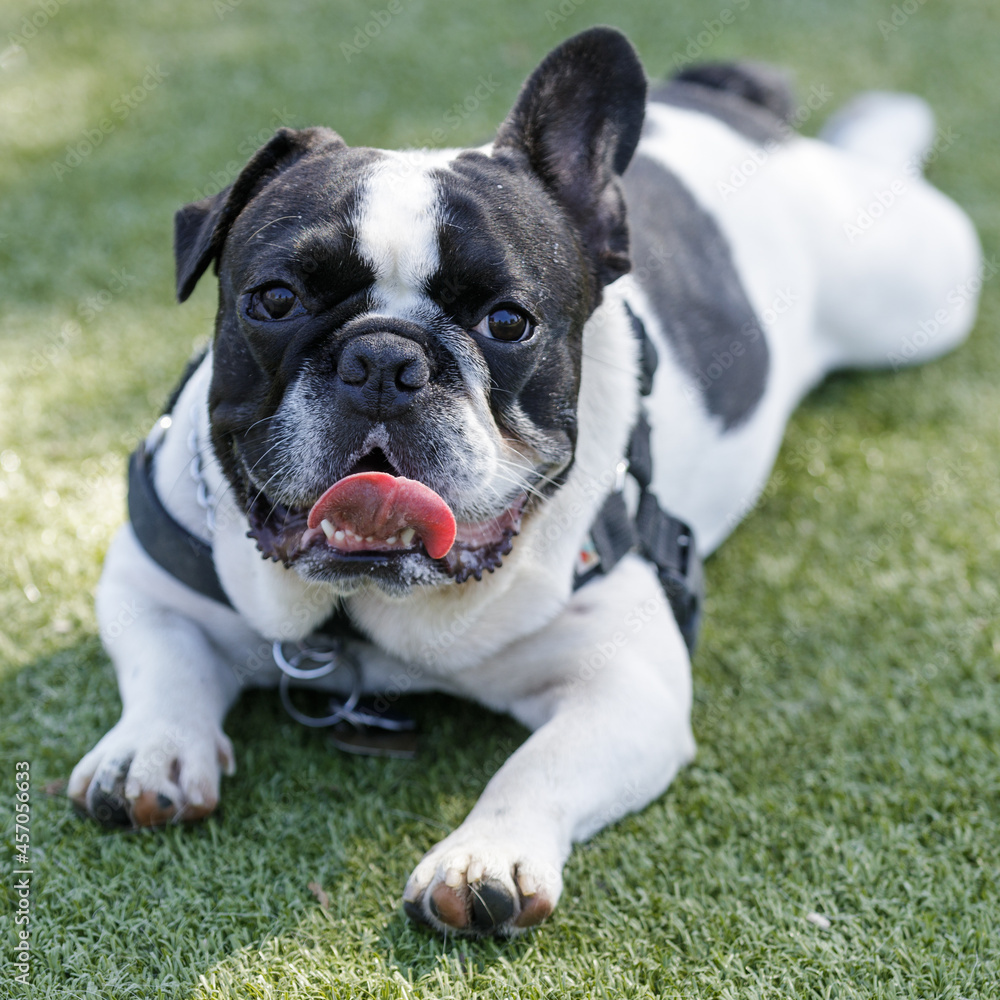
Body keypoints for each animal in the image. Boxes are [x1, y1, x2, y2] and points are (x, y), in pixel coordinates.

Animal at [66, 31, 980, 936]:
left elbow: (536, 767)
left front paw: (486, 855)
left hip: (920, 287)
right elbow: (165, 664)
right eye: (276, 300)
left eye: (508, 322)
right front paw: (152, 749)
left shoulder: (624, 687)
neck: (370, 618)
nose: (382, 359)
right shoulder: (147, 576)